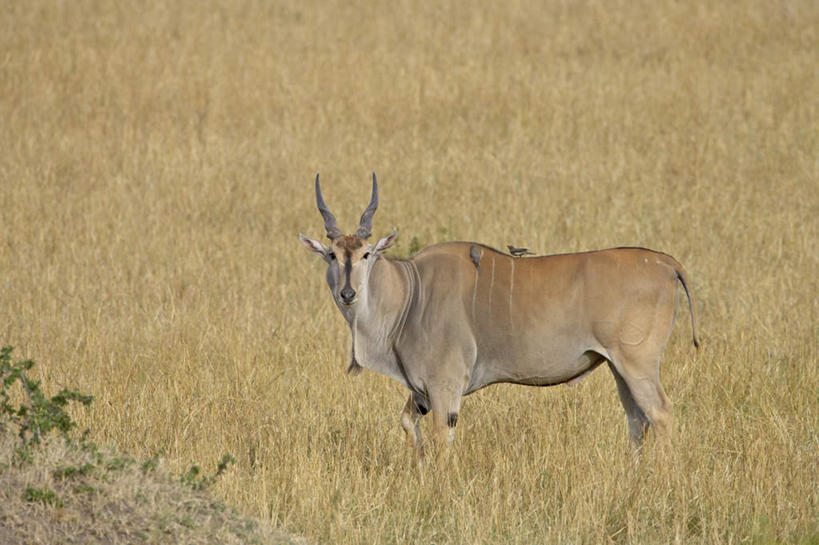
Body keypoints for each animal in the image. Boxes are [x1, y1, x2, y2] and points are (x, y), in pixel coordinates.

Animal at [300, 174, 700, 454]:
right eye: (332, 255)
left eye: (366, 254)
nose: (348, 293)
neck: (411, 292)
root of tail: (665, 263)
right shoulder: (422, 393)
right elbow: (407, 424)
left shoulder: (445, 387)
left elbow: (442, 438)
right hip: (619, 367)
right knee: (637, 419)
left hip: (637, 363)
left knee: (660, 413)